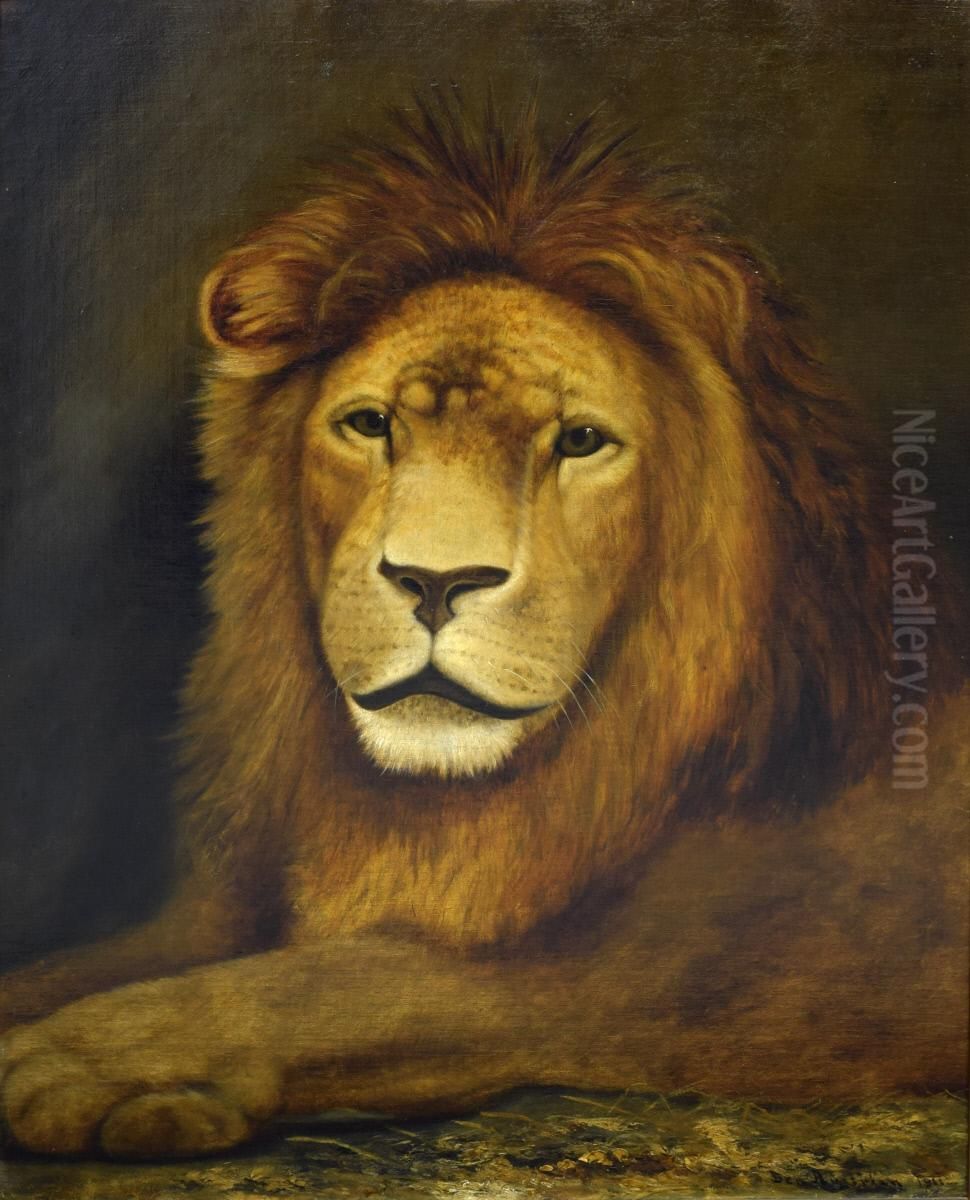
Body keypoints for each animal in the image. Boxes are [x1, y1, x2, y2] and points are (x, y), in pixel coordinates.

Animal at [1, 99, 967, 1161]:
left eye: (580, 441)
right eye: (369, 424)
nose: (434, 581)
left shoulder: (699, 973)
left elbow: (353, 980)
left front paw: (85, 1062)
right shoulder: (216, 911)